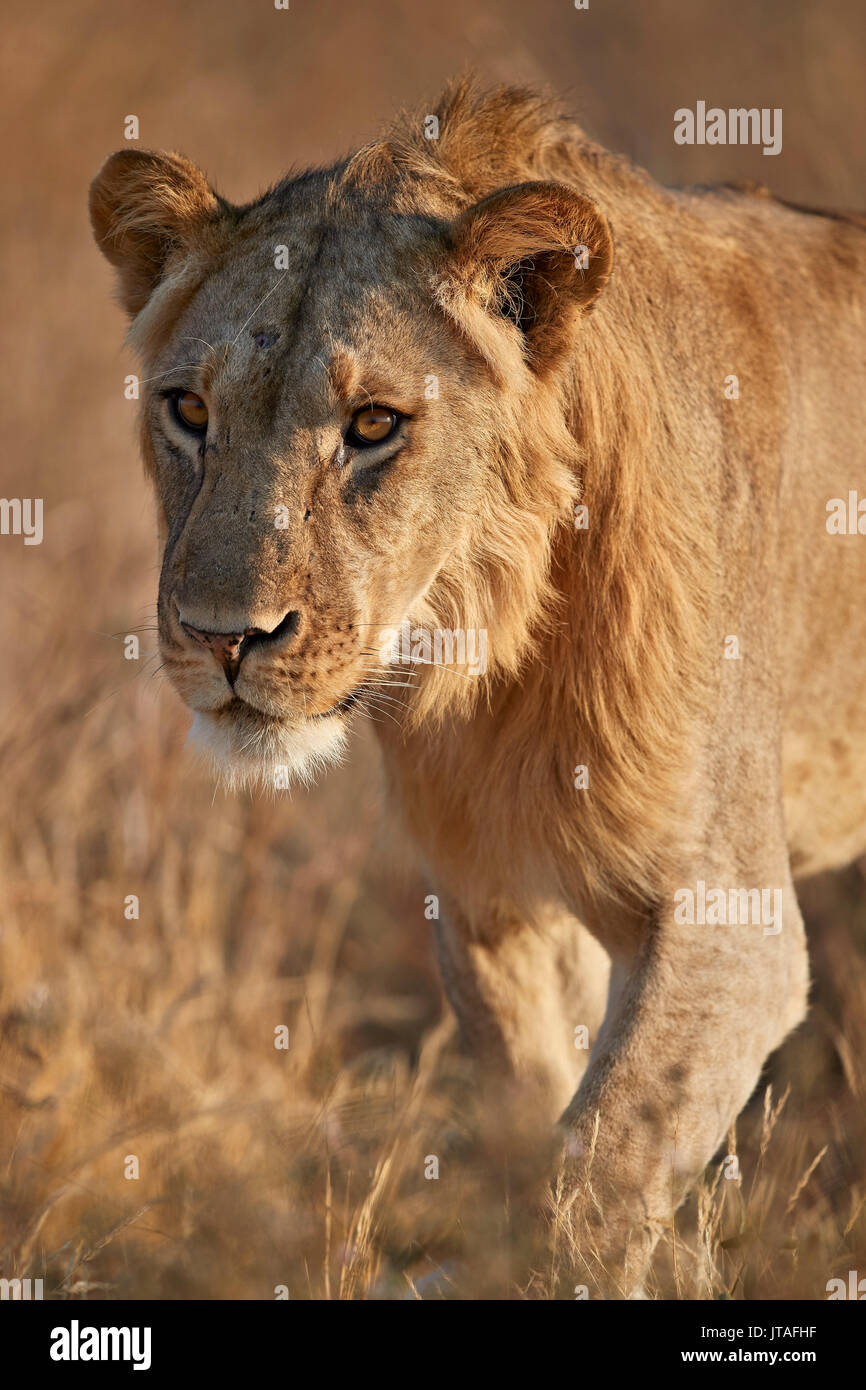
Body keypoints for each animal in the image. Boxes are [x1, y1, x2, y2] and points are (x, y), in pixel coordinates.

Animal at [90, 79, 866, 1296]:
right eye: (190, 412)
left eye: (373, 425)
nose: (222, 637)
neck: (493, 654)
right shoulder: (495, 898)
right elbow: (540, 1114)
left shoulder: (730, 915)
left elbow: (600, 1159)